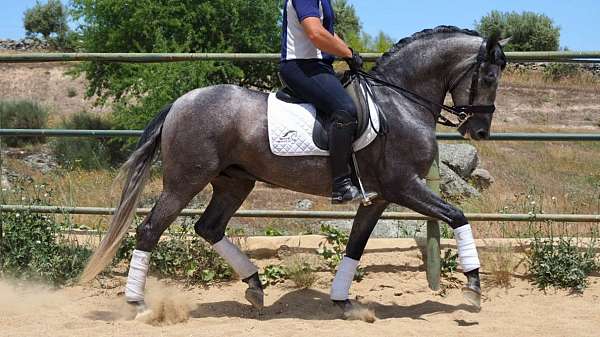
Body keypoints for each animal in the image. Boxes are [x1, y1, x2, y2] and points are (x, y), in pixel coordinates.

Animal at [82, 26, 508, 318]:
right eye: (489, 77)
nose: (480, 131)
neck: (398, 101)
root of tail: (180, 103)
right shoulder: (404, 186)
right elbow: (457, 216)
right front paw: (473, 288)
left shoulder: (378, 198)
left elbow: (355, 245)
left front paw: (344, 302)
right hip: (185, 180)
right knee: (149, 229)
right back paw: (137, 303)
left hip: (234, 182)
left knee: (208, 227)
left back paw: (254, 287)